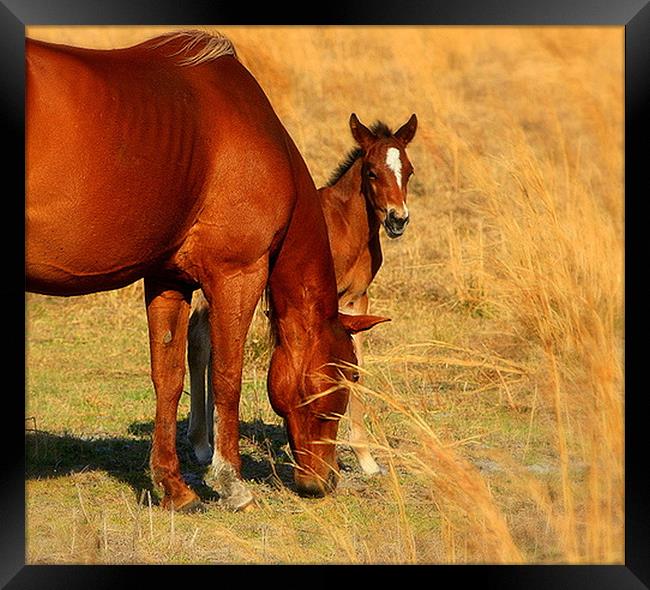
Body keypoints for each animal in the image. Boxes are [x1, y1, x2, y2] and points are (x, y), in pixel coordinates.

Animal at [27, 31, 388, 512]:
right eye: (336, 381)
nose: (323, 482)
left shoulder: (168, 280)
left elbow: (168, 377)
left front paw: (174, 488)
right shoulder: (237, 276)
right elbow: (227, 376)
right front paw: (231, 482)